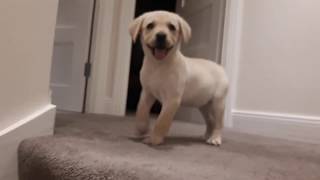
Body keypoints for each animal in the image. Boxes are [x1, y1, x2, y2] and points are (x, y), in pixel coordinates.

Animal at [129, 10, 229, 146]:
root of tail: (220, 67)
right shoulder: (147, 93)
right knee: (210, 121)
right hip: (203, 105)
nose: (161, 35)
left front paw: (154, 139)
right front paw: (142, 129)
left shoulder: (172, 99)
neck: (158, 65)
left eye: (172, 27)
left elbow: (162, 121)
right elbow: (141, 111)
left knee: (218, 123)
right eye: (150, 25)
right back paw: (206, 136)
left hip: (218, 103)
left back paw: (215, 138)